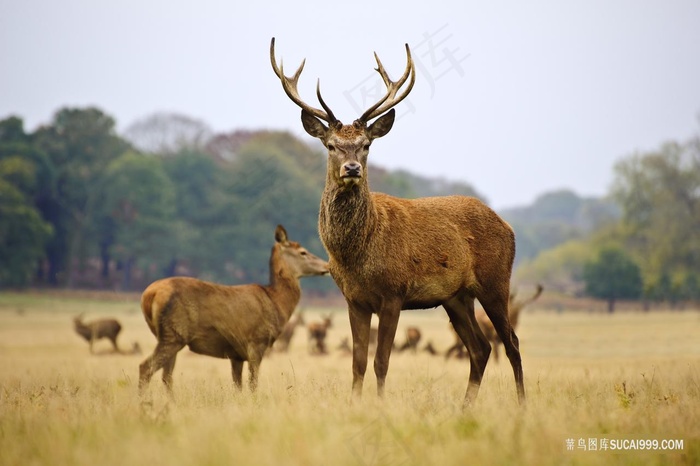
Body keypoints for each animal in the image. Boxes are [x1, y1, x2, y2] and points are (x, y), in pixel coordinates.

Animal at [139, 225, 330, 394]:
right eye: (303, 252)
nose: (327, 266)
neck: (276, 303)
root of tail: (149, 295)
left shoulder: (235, 354)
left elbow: (237, 386)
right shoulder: (256, 341)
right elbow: (253, 384)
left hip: (166, 335)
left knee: (166, 376)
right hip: (174, 332)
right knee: (145, 368)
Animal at [270, 38, 524, 406]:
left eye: (365, 145)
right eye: (331, 145)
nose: (351, 168)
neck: (356, 255)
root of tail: (508, 227)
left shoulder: (394, 294)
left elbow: (381, 361)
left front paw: (379, 405)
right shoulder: (354, 300)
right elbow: (358, 362)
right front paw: (355, 404)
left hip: (495, 281)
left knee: (512, 343)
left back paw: (522, 404)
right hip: (456, 297)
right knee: (481, 348)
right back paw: (465, 407)